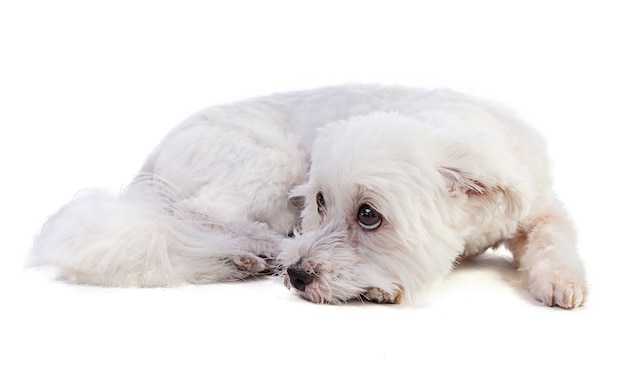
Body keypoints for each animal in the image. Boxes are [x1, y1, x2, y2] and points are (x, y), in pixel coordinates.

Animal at [29, 84, 584, 308]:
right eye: (318, 202)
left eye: (368, 215)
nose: (298, 275)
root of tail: (156, 153)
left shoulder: (540, 207)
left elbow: (555, 235)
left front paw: (562, 283)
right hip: (270, 162)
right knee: (200, 212)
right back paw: (258, 251)